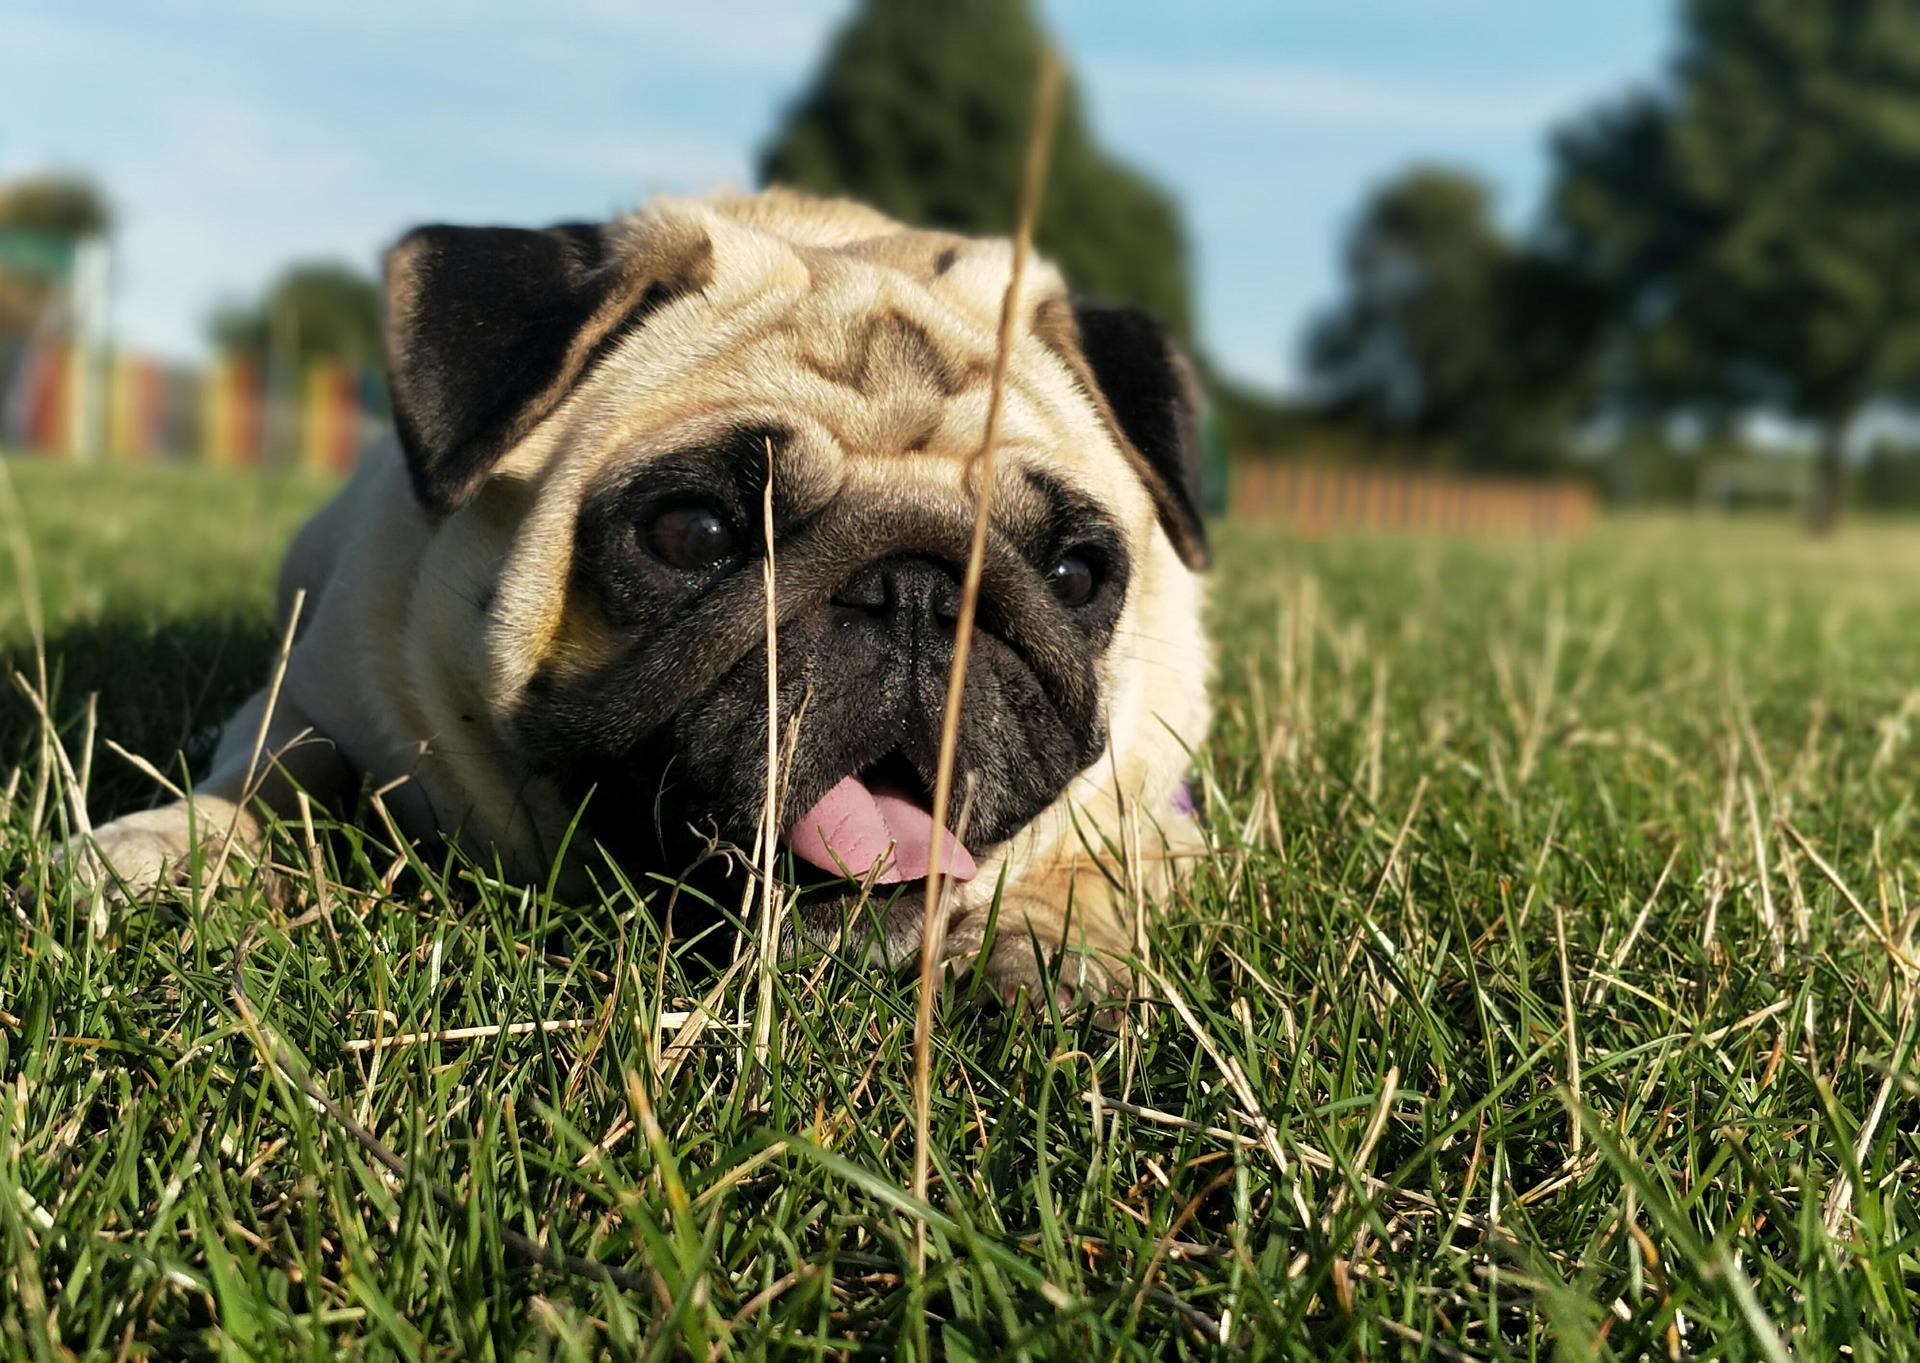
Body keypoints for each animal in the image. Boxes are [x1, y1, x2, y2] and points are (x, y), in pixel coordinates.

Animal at [82, 189, 1213, 1005]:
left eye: (1073, 575)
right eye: (693, 533)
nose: (915, 597)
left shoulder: (1163, 803)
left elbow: (1108, 859)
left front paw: (1058, 944)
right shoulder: (315, 695)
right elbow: (277, 773)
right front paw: (176, 845)